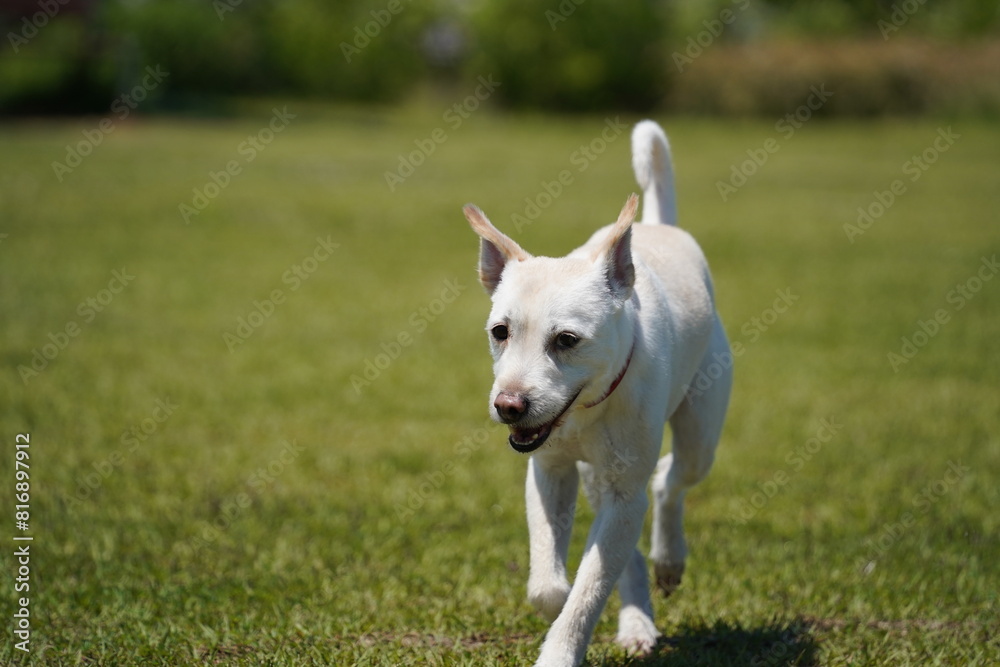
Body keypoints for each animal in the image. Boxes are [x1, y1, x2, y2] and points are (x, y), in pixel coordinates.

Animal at [462, 121, 736, 667]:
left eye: (567, 340)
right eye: (500, 332)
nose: (508, 407)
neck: (586, 412)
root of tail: (658, 224)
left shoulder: (623, 489)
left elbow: (589, 588)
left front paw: (558, 653)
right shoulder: (549, 470)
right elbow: (552, 586)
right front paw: (560, 594)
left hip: (699, 435)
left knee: (668, 481)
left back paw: (669, 560)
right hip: (594, 476)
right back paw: (636, 623)